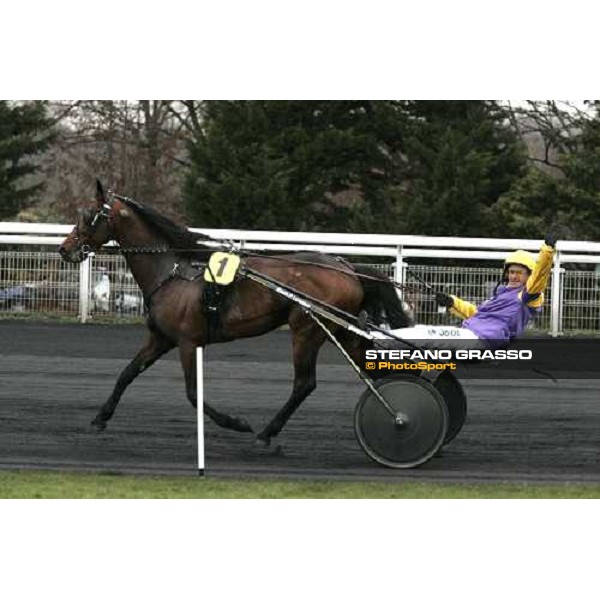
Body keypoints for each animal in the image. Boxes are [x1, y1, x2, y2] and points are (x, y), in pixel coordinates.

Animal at [58, 180, 412, 448]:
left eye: (89, 215)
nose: (65, 249)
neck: (173, 271)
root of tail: (348, 268)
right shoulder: (161, 338)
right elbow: (127, 373)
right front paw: (100, 418)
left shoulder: (187, 342)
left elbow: (192, 393)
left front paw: (236, 423)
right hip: (342, 331)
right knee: (374, 371)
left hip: (307, 329)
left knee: (304, 384)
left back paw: (266, 434)